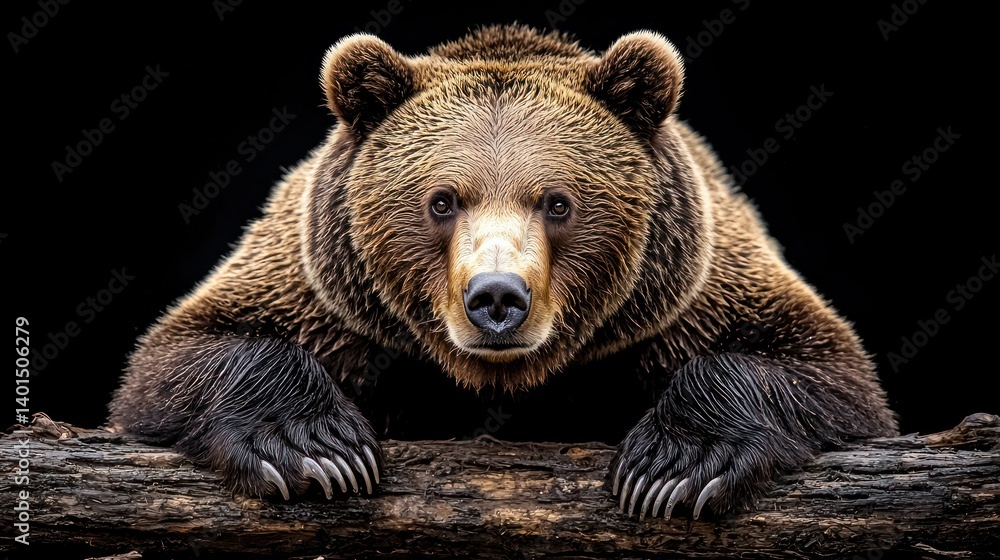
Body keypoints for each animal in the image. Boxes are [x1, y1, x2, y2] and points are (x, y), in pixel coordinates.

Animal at [109, 24, 897, 519]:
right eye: (441, 200)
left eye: (557, 201)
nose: (496, 297)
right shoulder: (326, 290)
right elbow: (182, 354)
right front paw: (315, 449)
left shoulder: (690, 291)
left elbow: (822, 369)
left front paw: (675, 465)